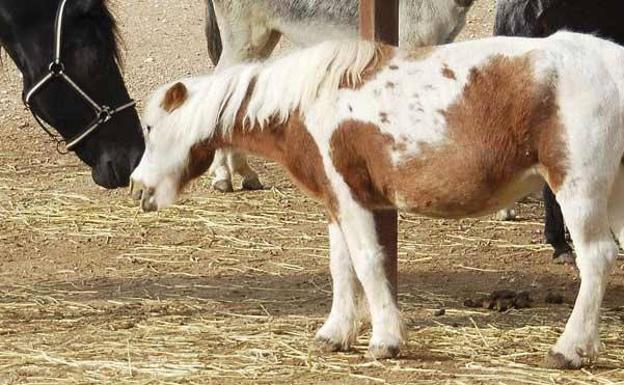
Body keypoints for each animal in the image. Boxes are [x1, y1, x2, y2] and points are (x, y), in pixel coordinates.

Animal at [129, 32, 624, 366]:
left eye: (151, 128)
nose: (137, 188)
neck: (307, 102)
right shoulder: (336, 200)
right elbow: (342, 266)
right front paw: (334, 334)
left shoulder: (350, 198)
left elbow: (367, 263)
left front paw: (385, 340)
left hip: (578, 190)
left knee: (596, 258)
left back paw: (568, 350)